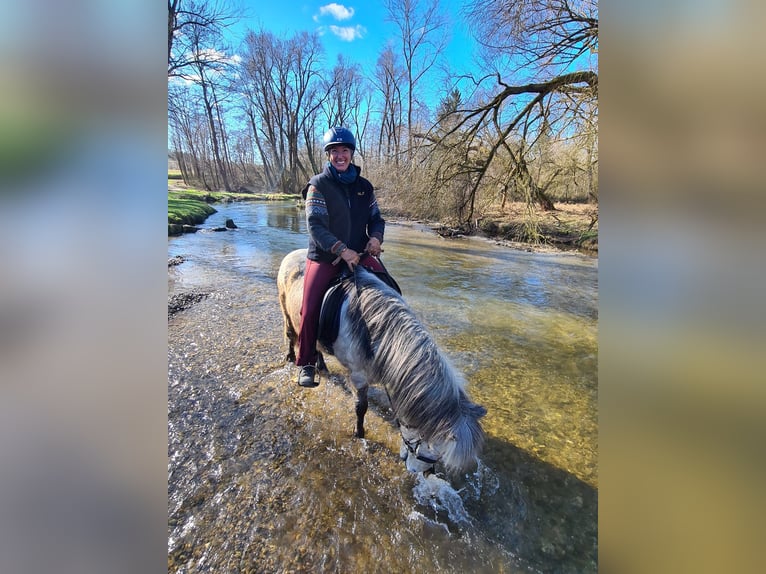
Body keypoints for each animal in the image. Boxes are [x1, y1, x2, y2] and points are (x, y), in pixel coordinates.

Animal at [277, 248, 487, 475]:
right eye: (427, 441)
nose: (421, 472)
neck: (374, 330)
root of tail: (293, 253)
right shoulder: (358, 375)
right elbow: (361, 407)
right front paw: (359, 432)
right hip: (287, 311)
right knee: (292, 335)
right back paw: (296, 361)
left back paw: (321, 365)